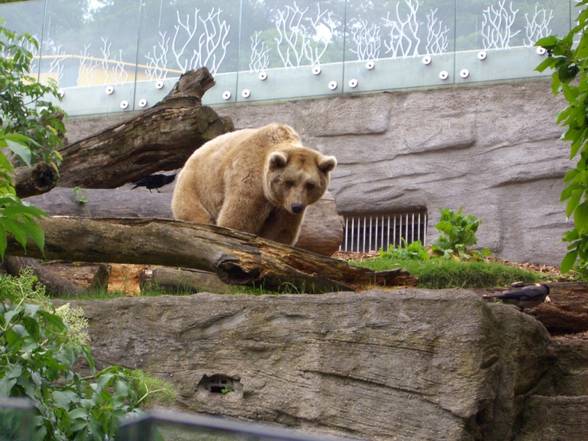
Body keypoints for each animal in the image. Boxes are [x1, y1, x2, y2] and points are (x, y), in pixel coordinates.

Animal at [170, 121, 336, 244]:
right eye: (289, 182)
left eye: (310, 184)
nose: (297, 206)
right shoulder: (250, 180)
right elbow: (238, 220)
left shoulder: (283, 205)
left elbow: (280, 230)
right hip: (196, 187)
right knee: (196, 216)